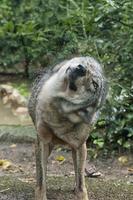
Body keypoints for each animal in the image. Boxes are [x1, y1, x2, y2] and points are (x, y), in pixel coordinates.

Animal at [28, 56, 108, 200]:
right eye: (86, 65)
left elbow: (81, 182)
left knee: (78, 172)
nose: (81, 68)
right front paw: (41, 195)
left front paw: (81, 194)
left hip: (77, 149)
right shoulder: (43, 142)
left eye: (94, 84)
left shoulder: (80, 146)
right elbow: (41, 180)